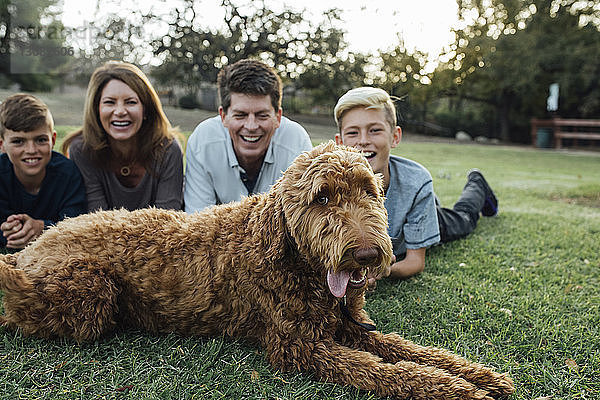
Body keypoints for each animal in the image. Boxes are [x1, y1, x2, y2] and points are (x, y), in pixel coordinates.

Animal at [1, 141, 516, 400]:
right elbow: (381, 369)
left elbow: (408, 350)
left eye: (369, 191)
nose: (369, 256)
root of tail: (34, 248)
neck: (289, 254)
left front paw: (479, 375)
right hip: (90, 293)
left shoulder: (351, 326)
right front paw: (454, 389)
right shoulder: (299, 347)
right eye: (322, 197)